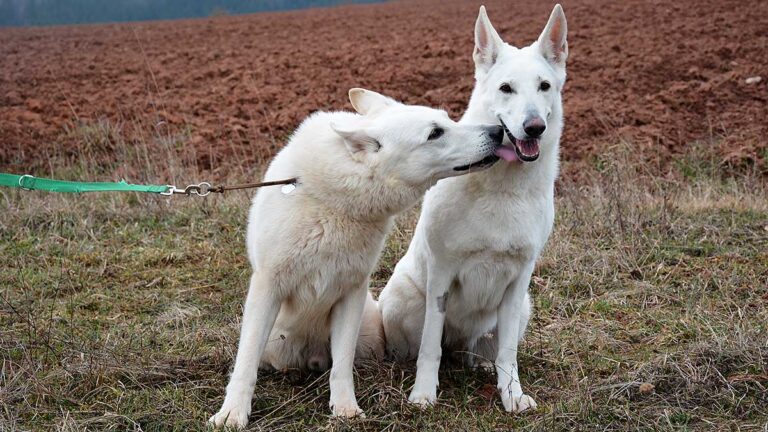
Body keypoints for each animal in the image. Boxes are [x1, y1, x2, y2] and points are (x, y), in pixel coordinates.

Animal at [210, 88, 504, 428]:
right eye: (435, 133)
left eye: (447, 119)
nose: (498, 131)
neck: (334, 203)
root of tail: (311, 354)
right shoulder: (268, 287)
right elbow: (245, 365)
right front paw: (232, 414)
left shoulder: (351, 293)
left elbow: (342, 365)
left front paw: (345, 409)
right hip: (275, 341)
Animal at [380, 4, 568, 416]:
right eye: (506, 88)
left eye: (544, 86)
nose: (535, 127)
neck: (503, 189)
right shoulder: (442, 275)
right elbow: (429, 349)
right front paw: (423, 394)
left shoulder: (518, 281)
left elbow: (508, 353)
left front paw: (511, 394)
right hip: (402, 300)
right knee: (426, 346)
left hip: (522, 307)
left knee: (485, 351)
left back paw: (481, 365)